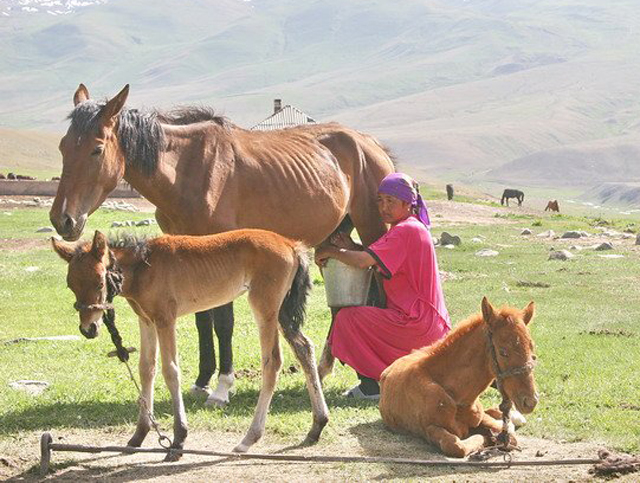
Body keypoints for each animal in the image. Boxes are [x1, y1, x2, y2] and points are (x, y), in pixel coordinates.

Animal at [48, 84, 396, 408]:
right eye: (62, 147)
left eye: (96, 149)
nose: (63, 219)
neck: (187, 171)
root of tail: (371, 144)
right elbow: (203, 319)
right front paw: (202, 381)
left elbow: (223, 321)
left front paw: (222, 386)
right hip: (334, 238)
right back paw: (325, 369)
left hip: (371, 229)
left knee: (378, 292)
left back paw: (369, 382)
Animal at [52, 231, 328, 458]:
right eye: (70, 284)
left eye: (100, 282)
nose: (88, 329)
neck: (144, 266)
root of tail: (292, 245)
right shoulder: (146, 320)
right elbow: (146, 368)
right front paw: (138, 435)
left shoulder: (165, 319)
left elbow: (170, 371)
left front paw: (178, 439)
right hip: (281, 311)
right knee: (304, 348)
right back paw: (317, 426)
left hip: (265, 307)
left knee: (273, 362)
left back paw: (248, 439)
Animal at [378, 296, 536, 460]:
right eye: (503, 352)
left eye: (532, 350)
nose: (530, 402)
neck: (457, 396)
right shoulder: (429, 429)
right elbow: (456, 446)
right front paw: (487, 439)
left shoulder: (481, 418)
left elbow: (510, 437)